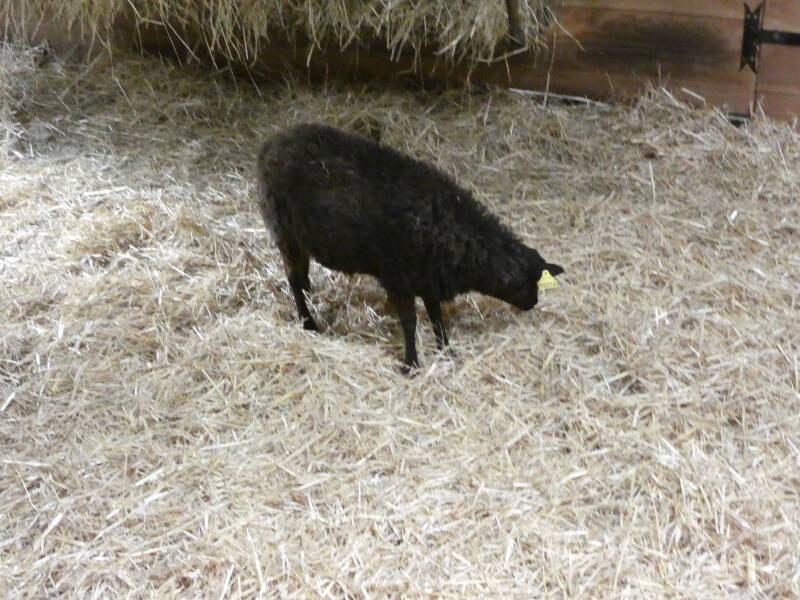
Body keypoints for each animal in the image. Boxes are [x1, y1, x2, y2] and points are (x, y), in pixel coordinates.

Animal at [256, 122, 564, 370]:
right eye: (525, 283)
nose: (534, 303)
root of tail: (272, 143)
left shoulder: (428, 278)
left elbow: (437, 317)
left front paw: (446, 350)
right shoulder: (398, 278)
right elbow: (410, 321)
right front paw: (412, 363)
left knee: (302, 274)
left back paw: (310, 292)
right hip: (285, 232)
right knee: (292, 280)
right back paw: (308, 321)